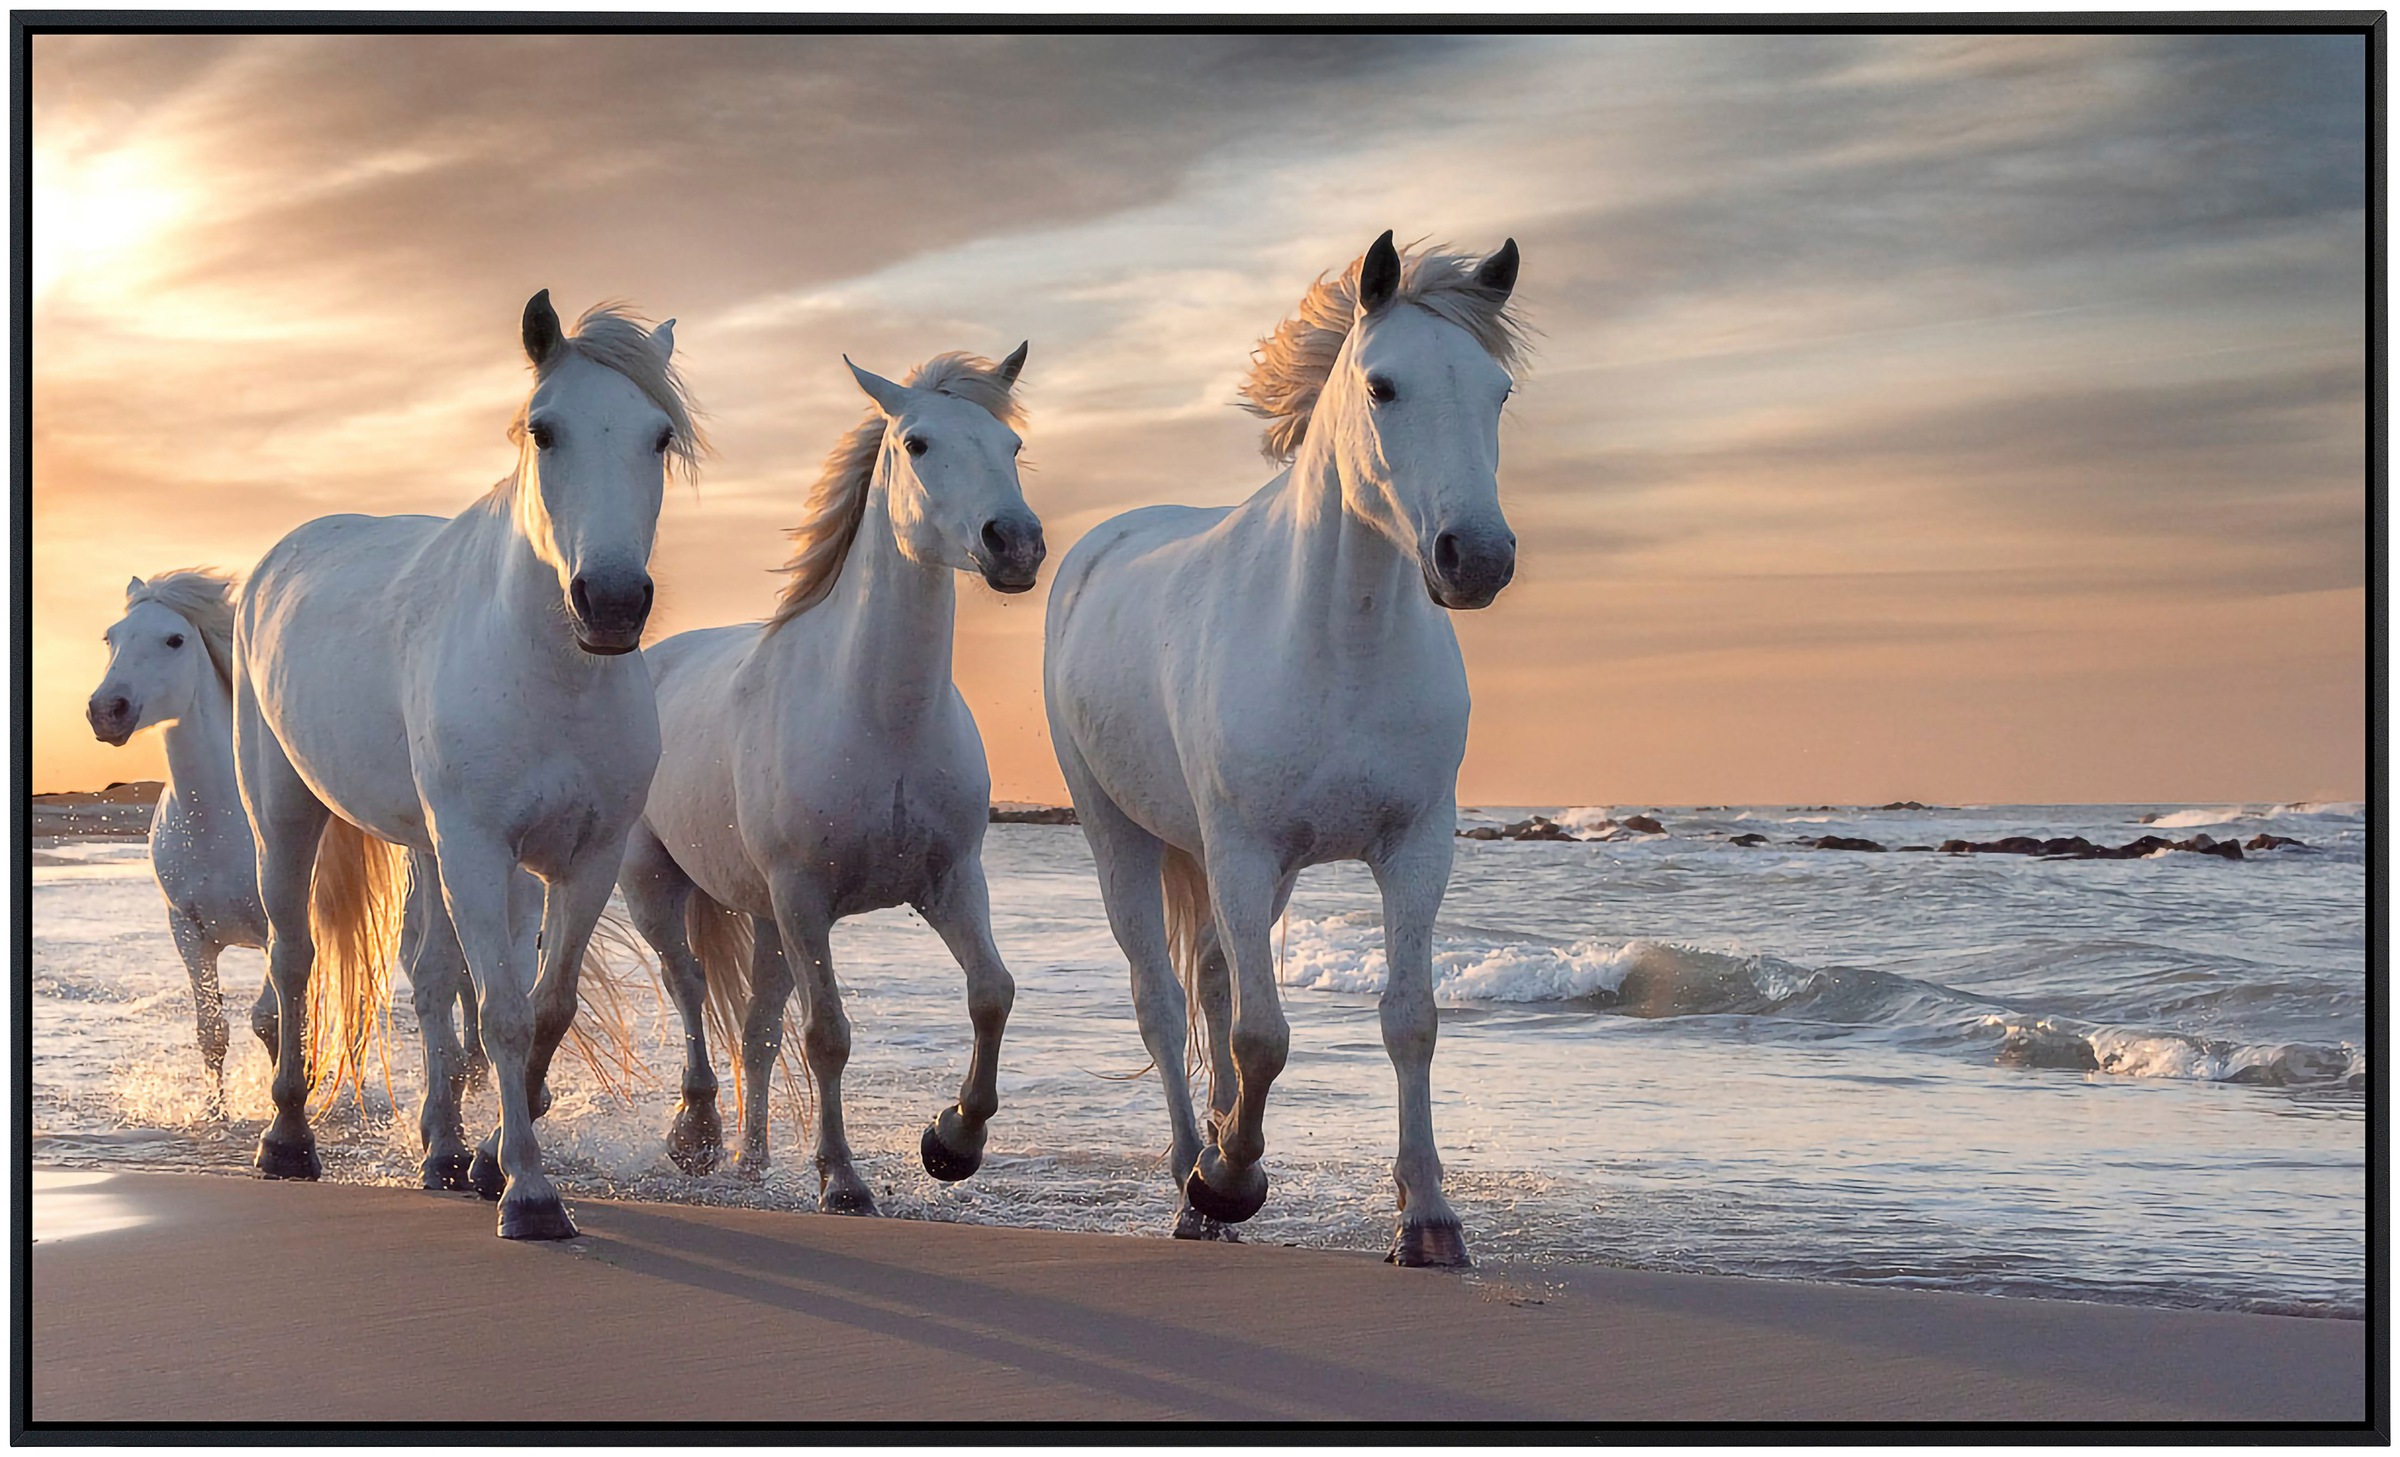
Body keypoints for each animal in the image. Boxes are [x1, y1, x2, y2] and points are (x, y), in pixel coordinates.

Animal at [85, 571, 487, 1118]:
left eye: (175, 639)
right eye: (112, 638)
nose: (107, 711)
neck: (214, 823)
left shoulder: (276, 925)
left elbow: (270, 1020)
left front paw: (294, 1097)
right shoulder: (187, 932)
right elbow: (213, 1031)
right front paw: (217, 1113)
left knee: (459, 987)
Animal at [231, 296, 696, 1238]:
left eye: (659, 435)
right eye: (545, 431)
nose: (612, 602)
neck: (551, 674)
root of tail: (278, 560)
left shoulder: (586, 860)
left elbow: (544, 1006)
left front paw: (487, 1159)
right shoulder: (481, 851)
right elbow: (506, 1015)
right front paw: (530, 1193)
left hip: (425, 844)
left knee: (430, 976)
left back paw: (441, 1151)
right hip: (286, 815)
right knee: (295, 958)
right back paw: (287, 1138)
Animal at [619, 345, 1041, 1209]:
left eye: (1012, 445)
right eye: (916, 443)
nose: (1013, 543)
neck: (879, 718)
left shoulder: (952, 881)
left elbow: (992, 992)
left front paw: (952, 1141)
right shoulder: (805, 895)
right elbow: (827, 1035)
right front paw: (843, 1179)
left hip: (766, 918)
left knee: (753, 1027)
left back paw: (750, 1162)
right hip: (659, 885)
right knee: (688, 985)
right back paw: (696, 1135)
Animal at [1046, 230, 1516, 1267]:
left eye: (1499, 390)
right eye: (1382, 386)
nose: (1478, 558)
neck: (1340, 644)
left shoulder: (1415, 846)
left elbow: (1409, 1019)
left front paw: (1429, 1218)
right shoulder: (1243, 848)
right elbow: (1263, 1035)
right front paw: (1227, 1179)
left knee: (1215, 979)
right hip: (1121, 836)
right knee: (1163, 999)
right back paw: (1196, 1180)